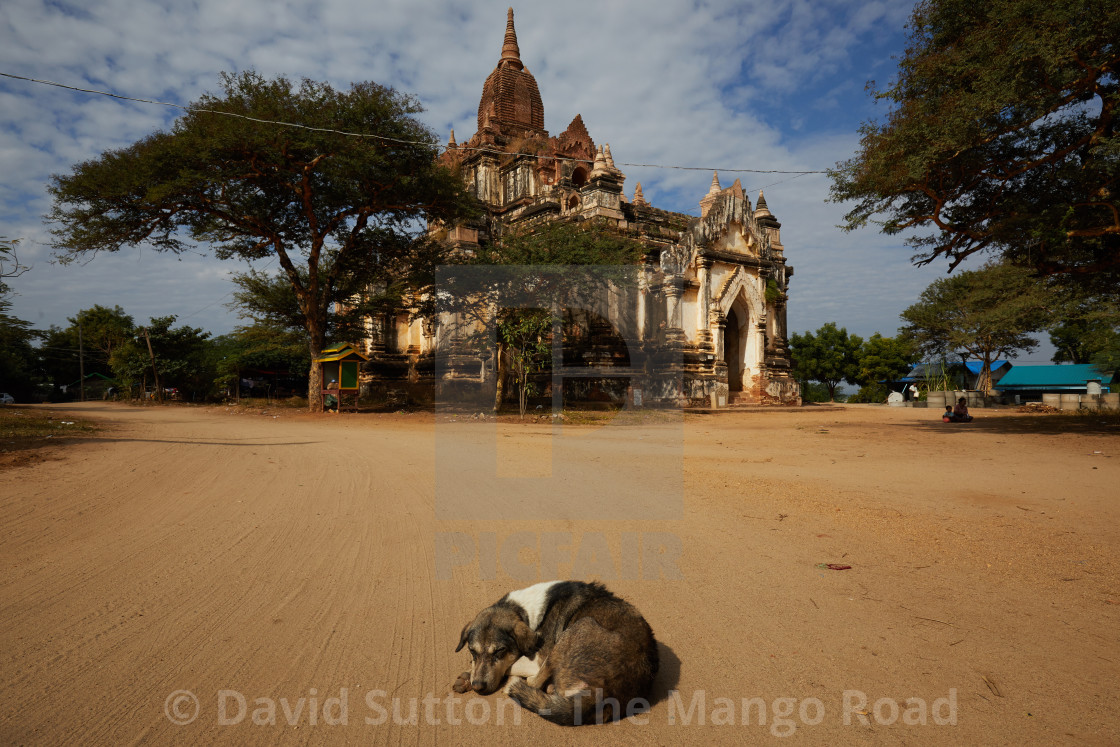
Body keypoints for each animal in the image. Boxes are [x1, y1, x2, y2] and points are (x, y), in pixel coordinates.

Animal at [450, 582, 654, 725]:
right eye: (472, 650)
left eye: (499, 651)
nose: (478, 687)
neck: (524, 611)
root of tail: (602, 691)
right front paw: (468, 677)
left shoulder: (537, 660)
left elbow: (510, 664)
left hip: (577, 628)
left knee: (533, 682)